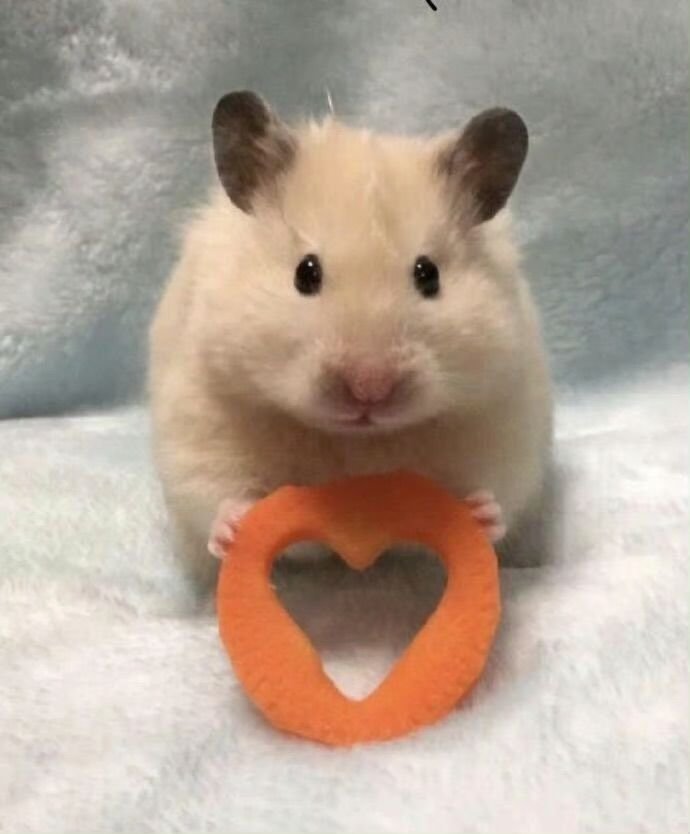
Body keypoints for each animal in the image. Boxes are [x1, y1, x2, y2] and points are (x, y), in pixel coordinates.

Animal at [148, 91, 553, 586]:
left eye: (429, 275)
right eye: (306, 272)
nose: (369, 389)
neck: (356, 441)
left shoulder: (505, 421)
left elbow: (496, 489)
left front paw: (479, 512)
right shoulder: (201, 423)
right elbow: (217, 493)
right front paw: (235, 524)